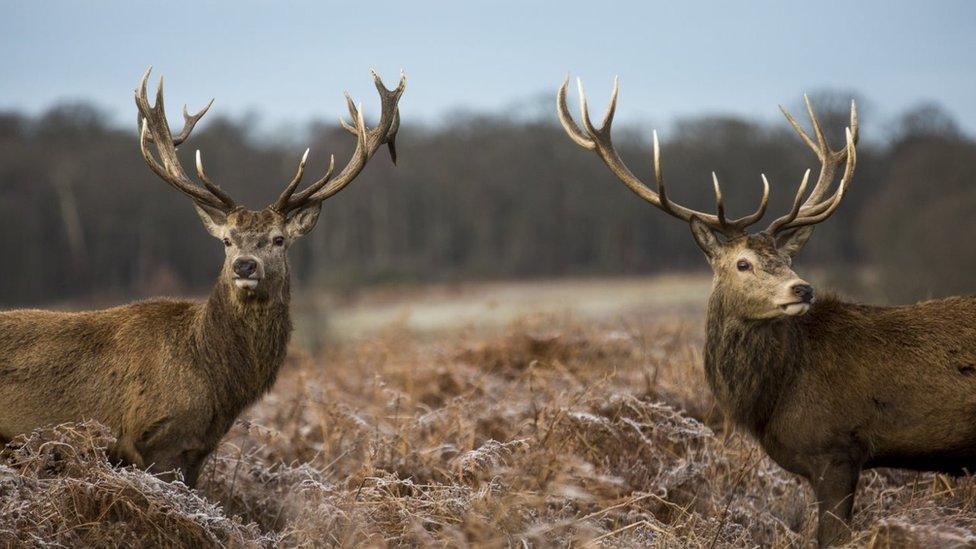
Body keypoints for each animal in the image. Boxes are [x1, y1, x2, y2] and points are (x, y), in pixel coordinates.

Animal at [0, 66, 406, 486]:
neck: (215, 382)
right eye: (227, 240)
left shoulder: (197, 451)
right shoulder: (152, 439)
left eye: (278, 239)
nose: (245, 265)